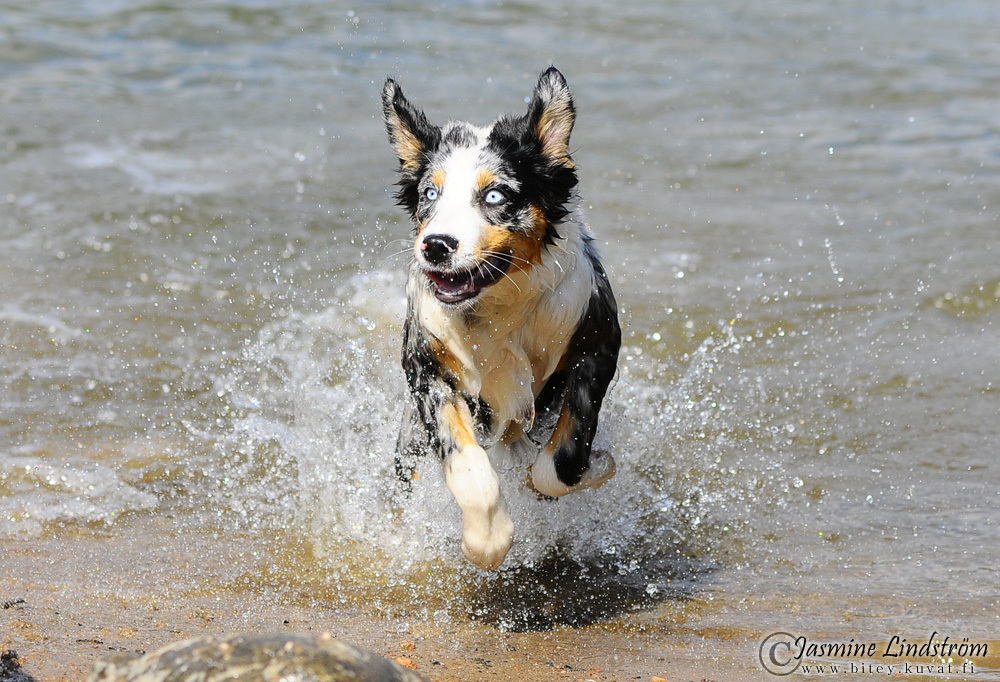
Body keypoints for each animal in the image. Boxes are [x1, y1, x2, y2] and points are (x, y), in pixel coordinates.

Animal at [381, 67, 621, 570]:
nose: (436, 245)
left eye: (495, 195)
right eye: (429, 193)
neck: (495, 310)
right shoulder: (427, 368)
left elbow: (563, 462)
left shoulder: (597, 342)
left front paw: (593, 467)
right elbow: (468, 465)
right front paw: (487, 543)